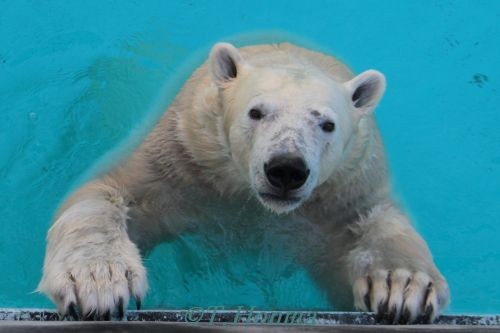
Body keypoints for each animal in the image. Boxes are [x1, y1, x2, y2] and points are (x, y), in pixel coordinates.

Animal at [39, 41, 452, 322]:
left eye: (327, 123)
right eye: (256, 111)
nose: (286, 168)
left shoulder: (344, 192)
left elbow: (377, 224)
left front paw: (404, 287)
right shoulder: (183, 161)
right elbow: (108, 192)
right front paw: (99, 280)